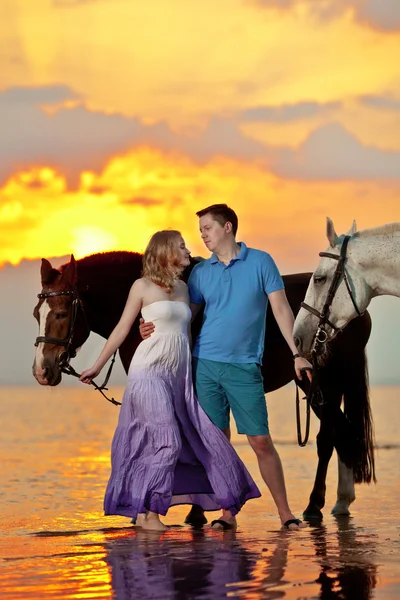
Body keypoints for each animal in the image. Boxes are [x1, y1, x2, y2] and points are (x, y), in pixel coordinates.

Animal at [32, 251, 376, 516]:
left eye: (61, 313)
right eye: (37, 314)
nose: (42, 370)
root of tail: (356, 312)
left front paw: (197, 512)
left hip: (324, 383)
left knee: (330, 436)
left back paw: (316, 505)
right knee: (342, 432)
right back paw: (341, 502)